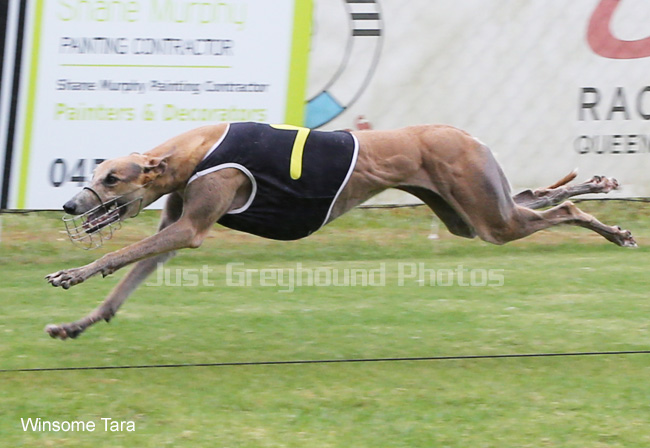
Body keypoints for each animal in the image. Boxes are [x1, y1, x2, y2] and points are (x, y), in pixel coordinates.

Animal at [45, 122, 636, 339]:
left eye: (111, 178)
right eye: (92, 174)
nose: (71, 205)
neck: (195, 151)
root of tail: (464, 134)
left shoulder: (192, 225)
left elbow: (117, 257)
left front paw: (72, 273)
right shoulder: (175, 229)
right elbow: (129, 278)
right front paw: (77, 324)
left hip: (487, 217)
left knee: (557, 208)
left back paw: (606, 210)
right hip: (468, 215)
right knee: (541, 199)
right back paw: (602, 205)